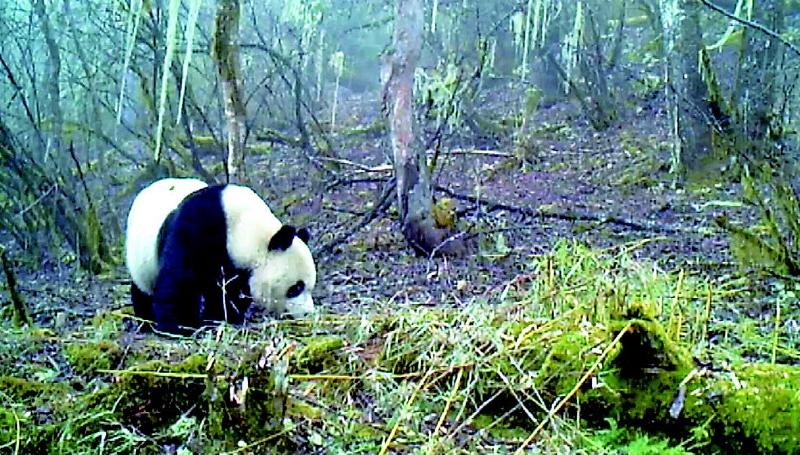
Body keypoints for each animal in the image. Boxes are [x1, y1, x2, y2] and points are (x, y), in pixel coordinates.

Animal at [125, 178, 316, 334]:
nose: (307, 313)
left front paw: (221, 318)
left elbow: (228, 293)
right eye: (296, 288)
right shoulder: (196, 229)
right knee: (143, 288)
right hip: (141, 255)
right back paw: (146, 322)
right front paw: (180, 327)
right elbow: (179, 282)